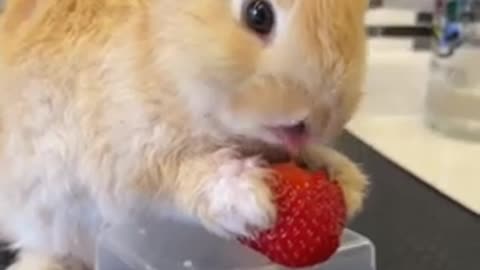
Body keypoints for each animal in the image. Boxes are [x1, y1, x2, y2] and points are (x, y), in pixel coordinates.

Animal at [0, 0, 370, 268]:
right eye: (258, 14)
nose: (320, 118)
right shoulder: (128, 156)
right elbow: (176, 176)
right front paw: (244, 196)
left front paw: (345, 180)